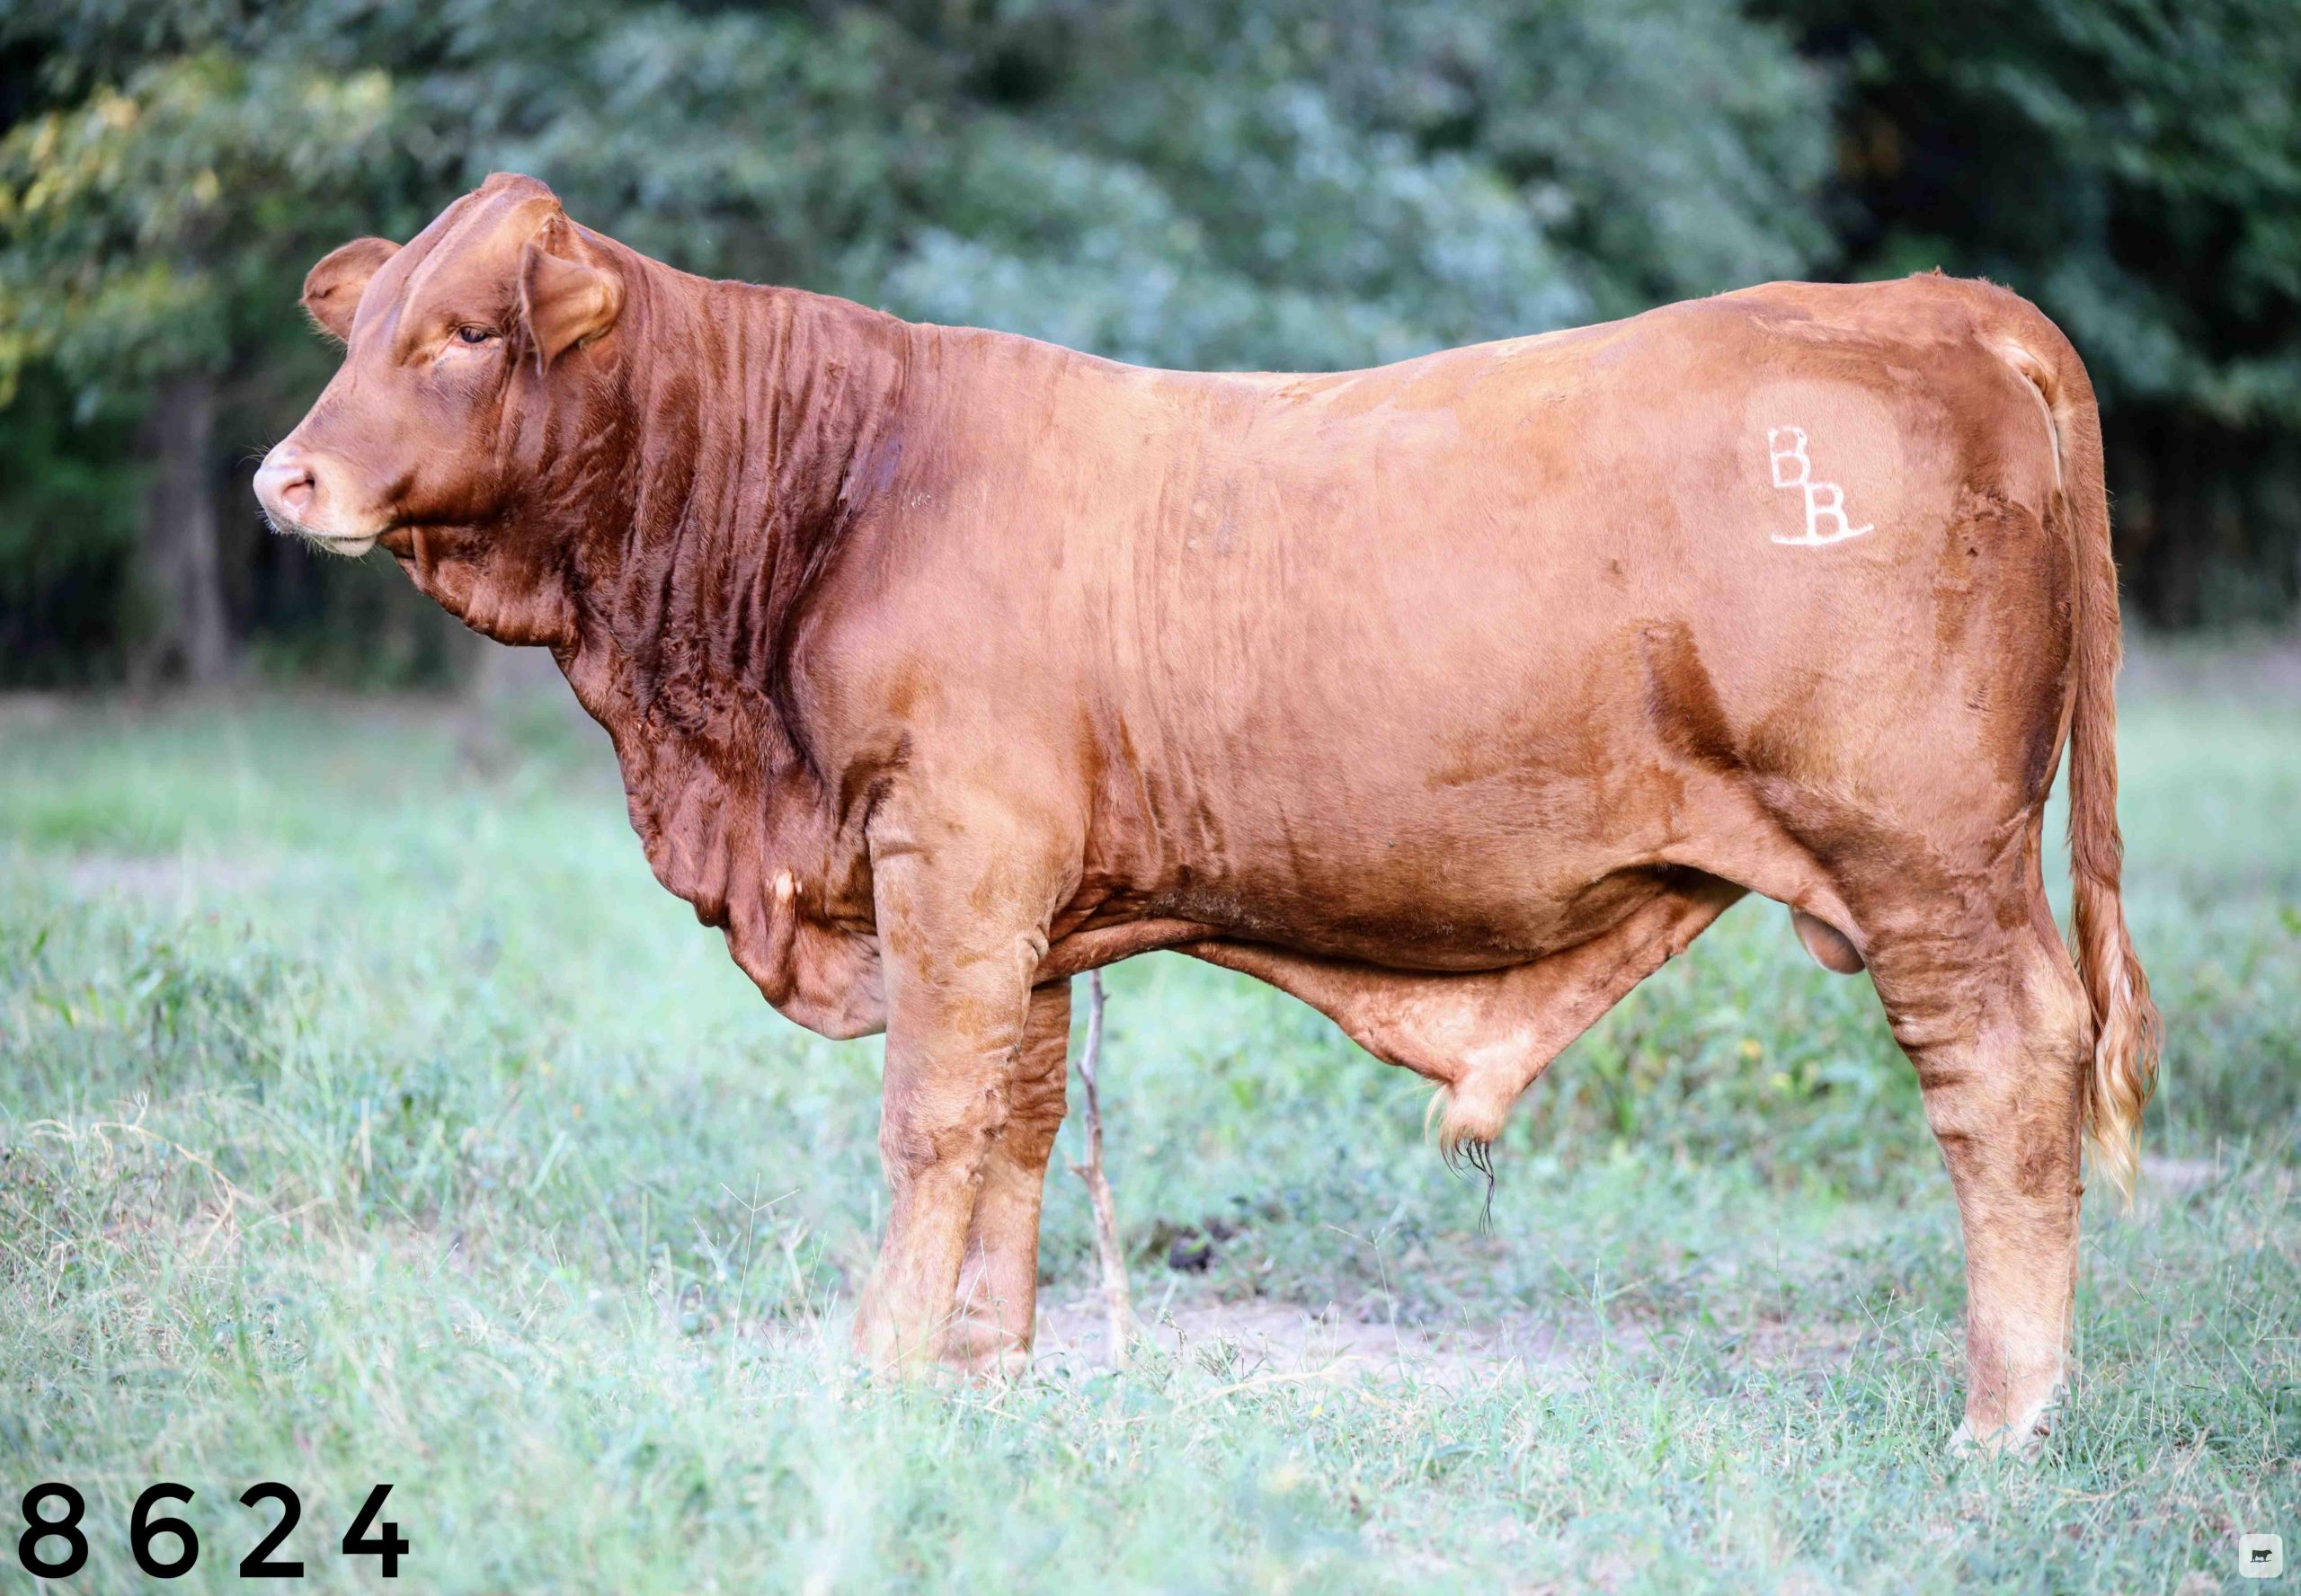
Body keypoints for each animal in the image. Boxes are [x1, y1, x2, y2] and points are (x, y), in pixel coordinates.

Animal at [256, 173, 2159, 1455]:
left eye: (466, 332)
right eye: (358, 328)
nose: (289, 476)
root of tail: (1928, 298)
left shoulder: (950, 852)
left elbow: (927, 1120)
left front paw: (876, 1362)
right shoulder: (1020, 901)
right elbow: (1017, 1122)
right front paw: (986, 1364)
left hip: (1926, 855)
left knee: (2008, 1067)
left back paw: (2006, 1418)